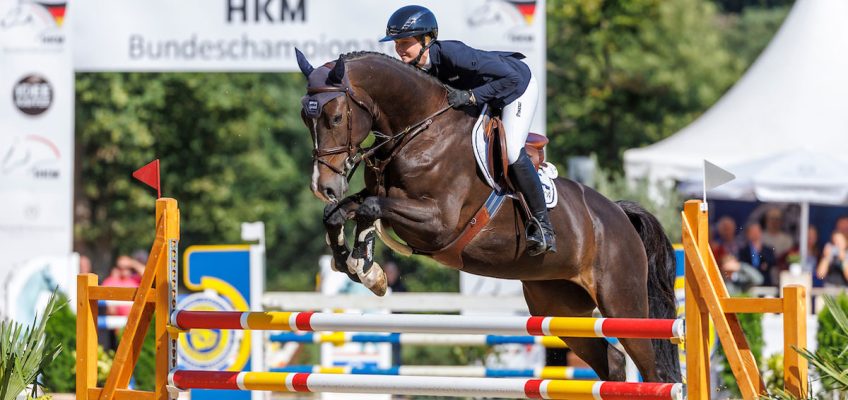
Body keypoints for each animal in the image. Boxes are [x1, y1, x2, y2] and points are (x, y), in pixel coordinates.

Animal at [298, 50, 684, 384]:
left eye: (335, 117)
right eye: (306, 118)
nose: (322, 186)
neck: (419, 133)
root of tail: (619, 214)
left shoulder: (437, 223)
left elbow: (369, 209)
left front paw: (364, 266)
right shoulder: (380, 197)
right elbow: (339, 213)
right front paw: (358, 266)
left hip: (623, 305)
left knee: (654, 371)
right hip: (560, 306)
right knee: (613, 362)